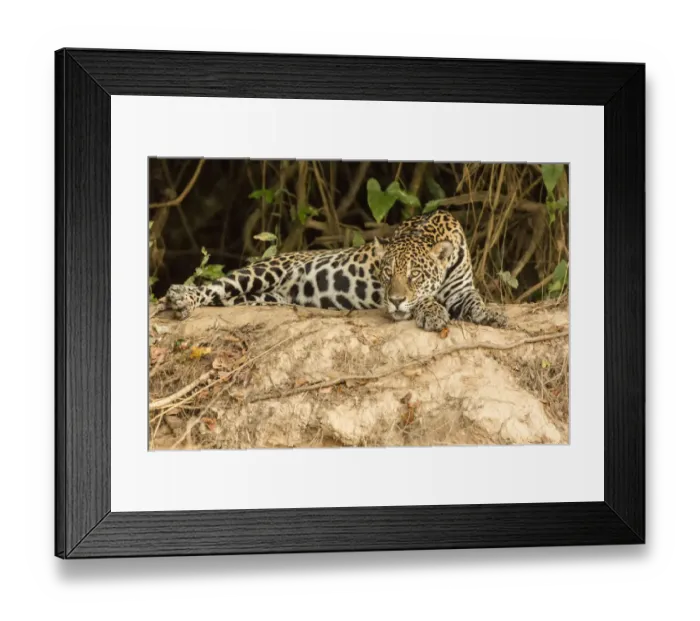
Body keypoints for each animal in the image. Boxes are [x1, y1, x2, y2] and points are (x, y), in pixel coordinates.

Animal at [159, 209, 506, 332]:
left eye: (415, 275)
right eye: (386, 274)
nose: (395, 301)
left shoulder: (462, 289)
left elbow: (474, 300)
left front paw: (492, 314)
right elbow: (424, 299)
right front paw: (432, 313)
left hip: (263, 298)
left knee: (225, 298)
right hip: (260, 271)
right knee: (213, 287)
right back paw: (179, 298)